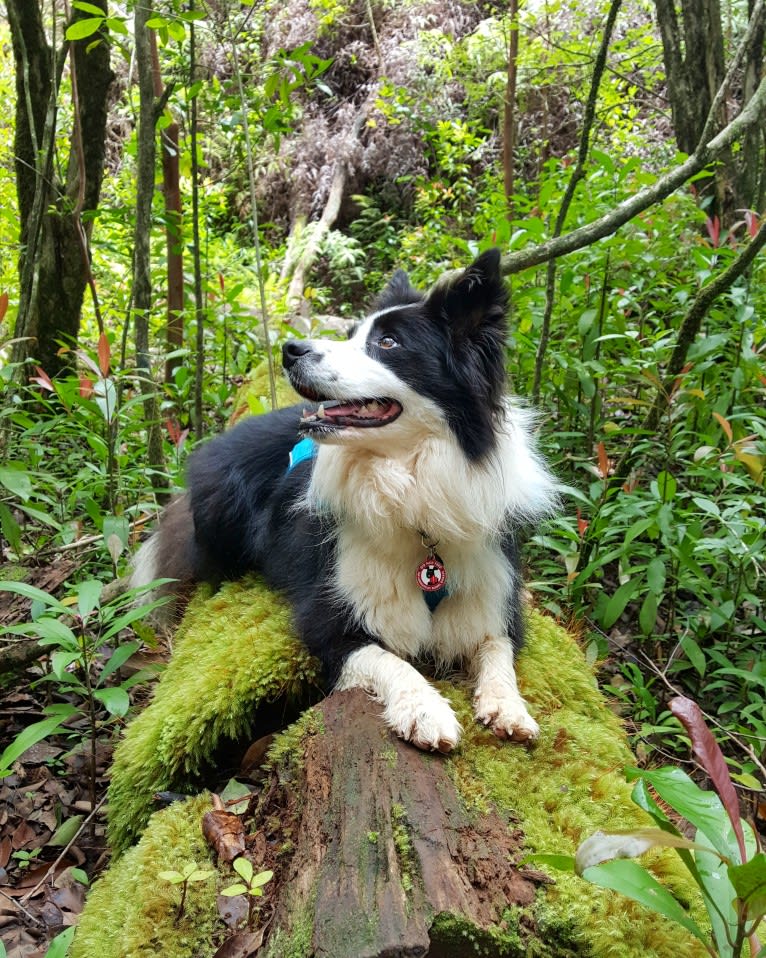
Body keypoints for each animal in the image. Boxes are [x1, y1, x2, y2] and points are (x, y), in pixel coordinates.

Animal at [134, 251, 560, 752]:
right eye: (352, 333)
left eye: (388, 342)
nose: (291, 350)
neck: (411, 490)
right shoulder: (331, 618)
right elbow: (390, 660)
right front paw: (426, 710)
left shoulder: (495, 592)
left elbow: (498, 649)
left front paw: (509, 706)